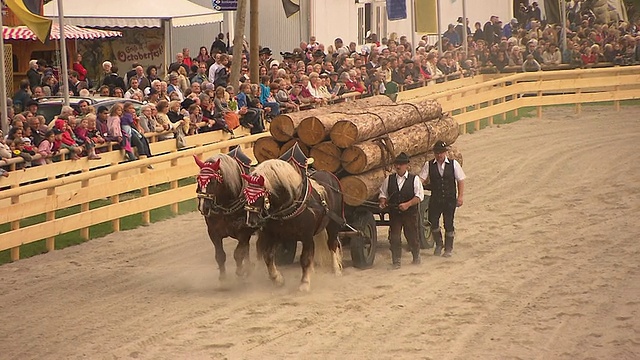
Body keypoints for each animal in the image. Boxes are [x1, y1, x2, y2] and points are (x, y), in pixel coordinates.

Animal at [195, 149, 255, 282]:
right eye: (198, 179)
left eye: (212, 181)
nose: (203, 206)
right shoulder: (213, 232)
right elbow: (220, 256)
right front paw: (223, 278)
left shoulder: (244, 232)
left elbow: (238, 253)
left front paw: (240, 272)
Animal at [241, 159, 344, 292]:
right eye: (245, 193)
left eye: (259, 195)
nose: (251, 222)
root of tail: (330, 175)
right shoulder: (274, 235)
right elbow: (268, 256)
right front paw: (277, 279)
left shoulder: (307, 237)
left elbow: (305, 258)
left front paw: (304, 283)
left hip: (333, 224)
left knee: (332, 244)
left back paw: (336, 269)